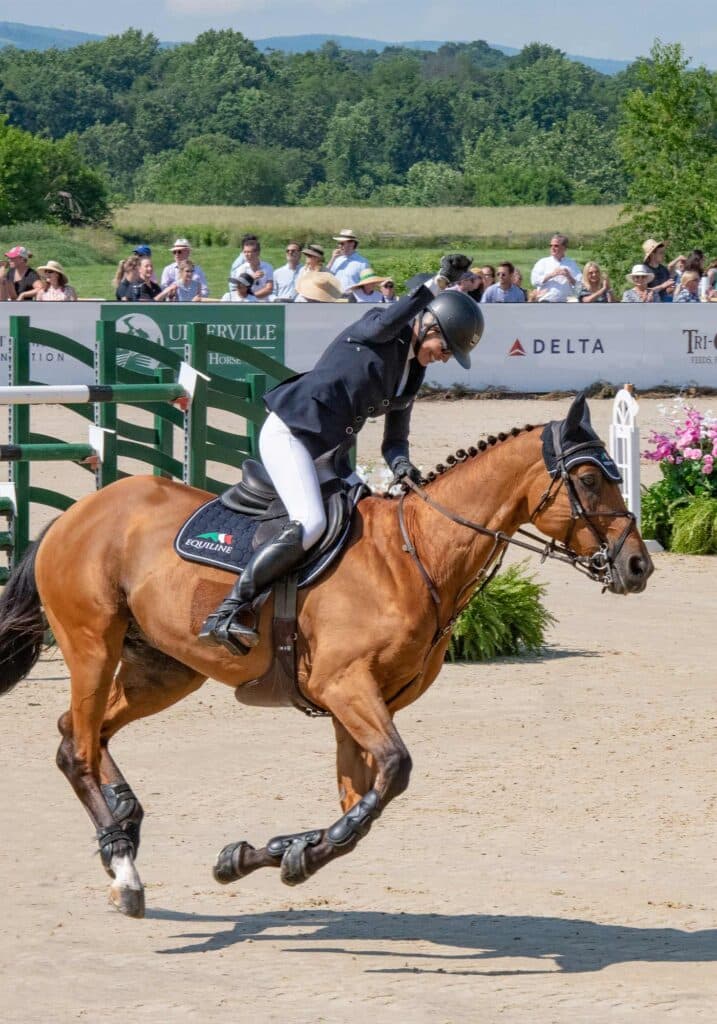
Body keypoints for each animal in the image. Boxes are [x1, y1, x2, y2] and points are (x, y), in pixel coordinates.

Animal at [0, 395, 651, 917]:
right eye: (588, 480)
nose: (637, 566)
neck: (417, 554)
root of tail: (72, 515)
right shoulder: (345, 687)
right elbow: (395, 770)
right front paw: (297, 857)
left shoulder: (357, 705)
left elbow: (360, 797)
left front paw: (259, 855)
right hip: (94, 644)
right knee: (80, 747)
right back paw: (125, 869)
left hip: (164, 670)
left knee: (77, 733)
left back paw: (125, 833)